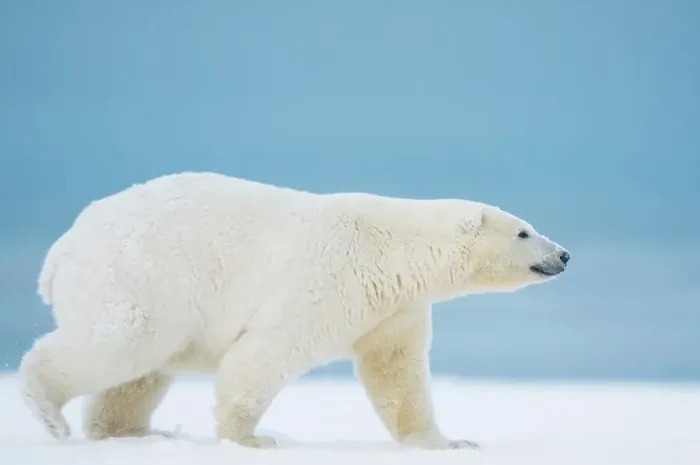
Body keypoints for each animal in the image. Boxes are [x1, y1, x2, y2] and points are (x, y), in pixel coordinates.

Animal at [19, 171, 570, 450]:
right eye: (524, 231)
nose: (563, 254)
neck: (395, 247)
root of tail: (62, 250)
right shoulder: (330, 279)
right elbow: (265, 352)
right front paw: (249, 439)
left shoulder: (395, 308)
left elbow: (397, 373)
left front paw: (445, 443)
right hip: (143, 276)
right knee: (121, 343)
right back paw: (48, 413)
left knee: (138, 375)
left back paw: (132, 431)